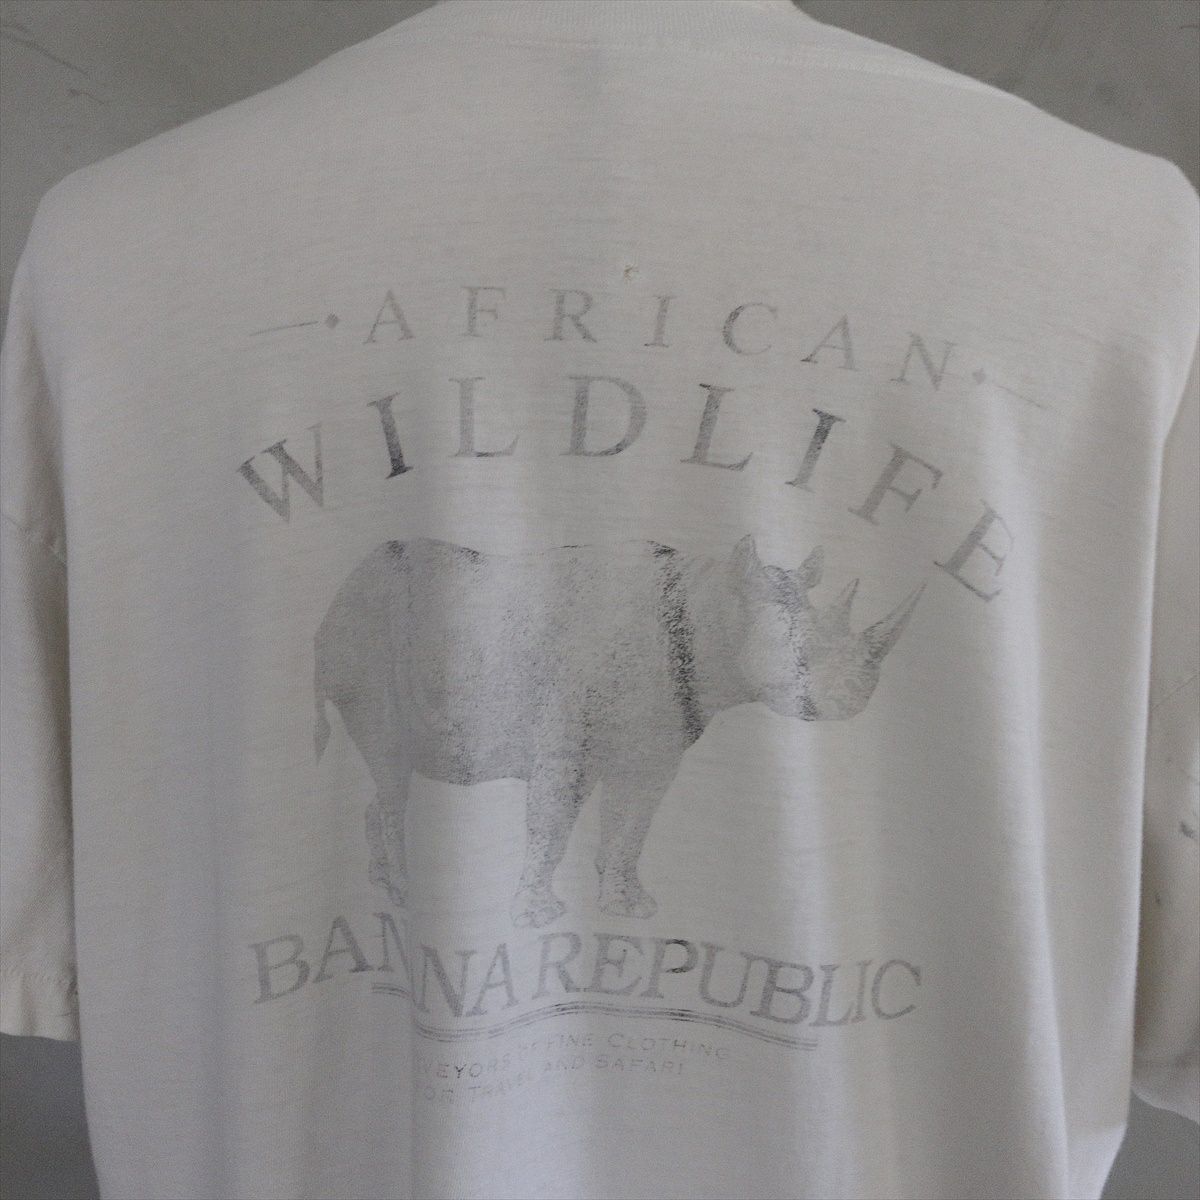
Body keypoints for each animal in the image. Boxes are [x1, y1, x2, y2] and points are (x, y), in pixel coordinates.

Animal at [313, 534, 923, 929]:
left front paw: (629, 907)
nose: (859, 696)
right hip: (365, 635)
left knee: (386, 777)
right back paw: (404, 891)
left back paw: (384, 884)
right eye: (802, 658)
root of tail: (341, 588)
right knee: (389, 761)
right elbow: (551, 826)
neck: (714, 611)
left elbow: (631, 824)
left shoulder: (655, 743)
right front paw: (537, 916)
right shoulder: (563, 740)